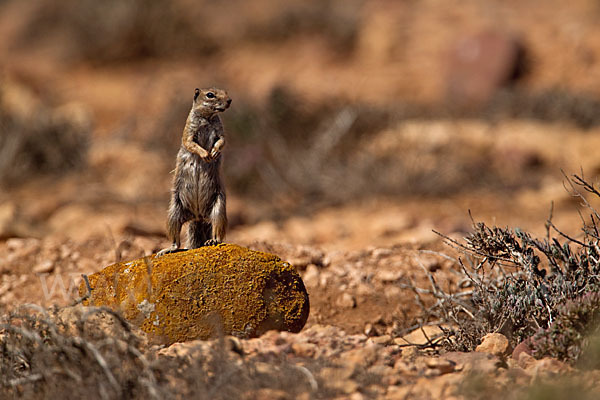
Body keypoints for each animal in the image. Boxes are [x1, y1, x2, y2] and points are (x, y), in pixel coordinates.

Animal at [157, 87, 232, 256]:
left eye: (225, 91)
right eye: (210, 95)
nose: (229, 100)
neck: (208, 118)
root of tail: (198, 217)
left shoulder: (220, 130)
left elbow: (222, 141)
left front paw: (214, 152)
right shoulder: (189, 130)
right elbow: (190, 143)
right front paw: (205, 154)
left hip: (219, 208)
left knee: (217, 229)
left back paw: (213, 241)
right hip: (174, 212)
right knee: (176, 239)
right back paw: (167, 249)